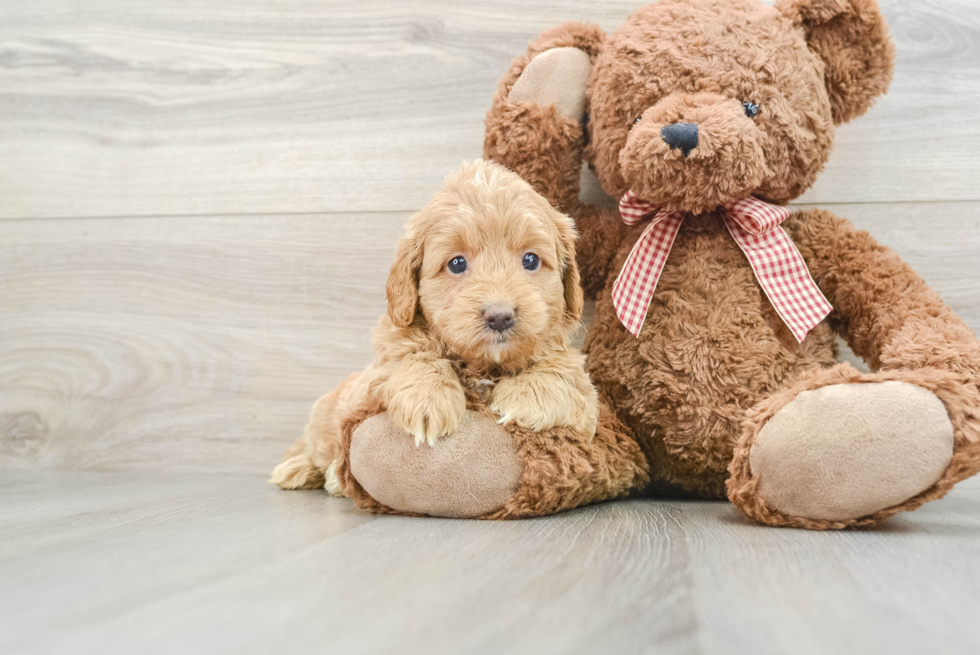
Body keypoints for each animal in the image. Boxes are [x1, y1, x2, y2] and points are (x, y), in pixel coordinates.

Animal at [272, 160, 600, 498]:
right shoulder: (374, 379)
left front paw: (525, 395)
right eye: (456, 264)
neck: (483, 366)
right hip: (324, 418)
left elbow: (565, 374)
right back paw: (303, 470)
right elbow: (411, 358)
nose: (499, 316)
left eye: (531, 260)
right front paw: (428, 398)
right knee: (317, 449)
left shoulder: (587, 405)